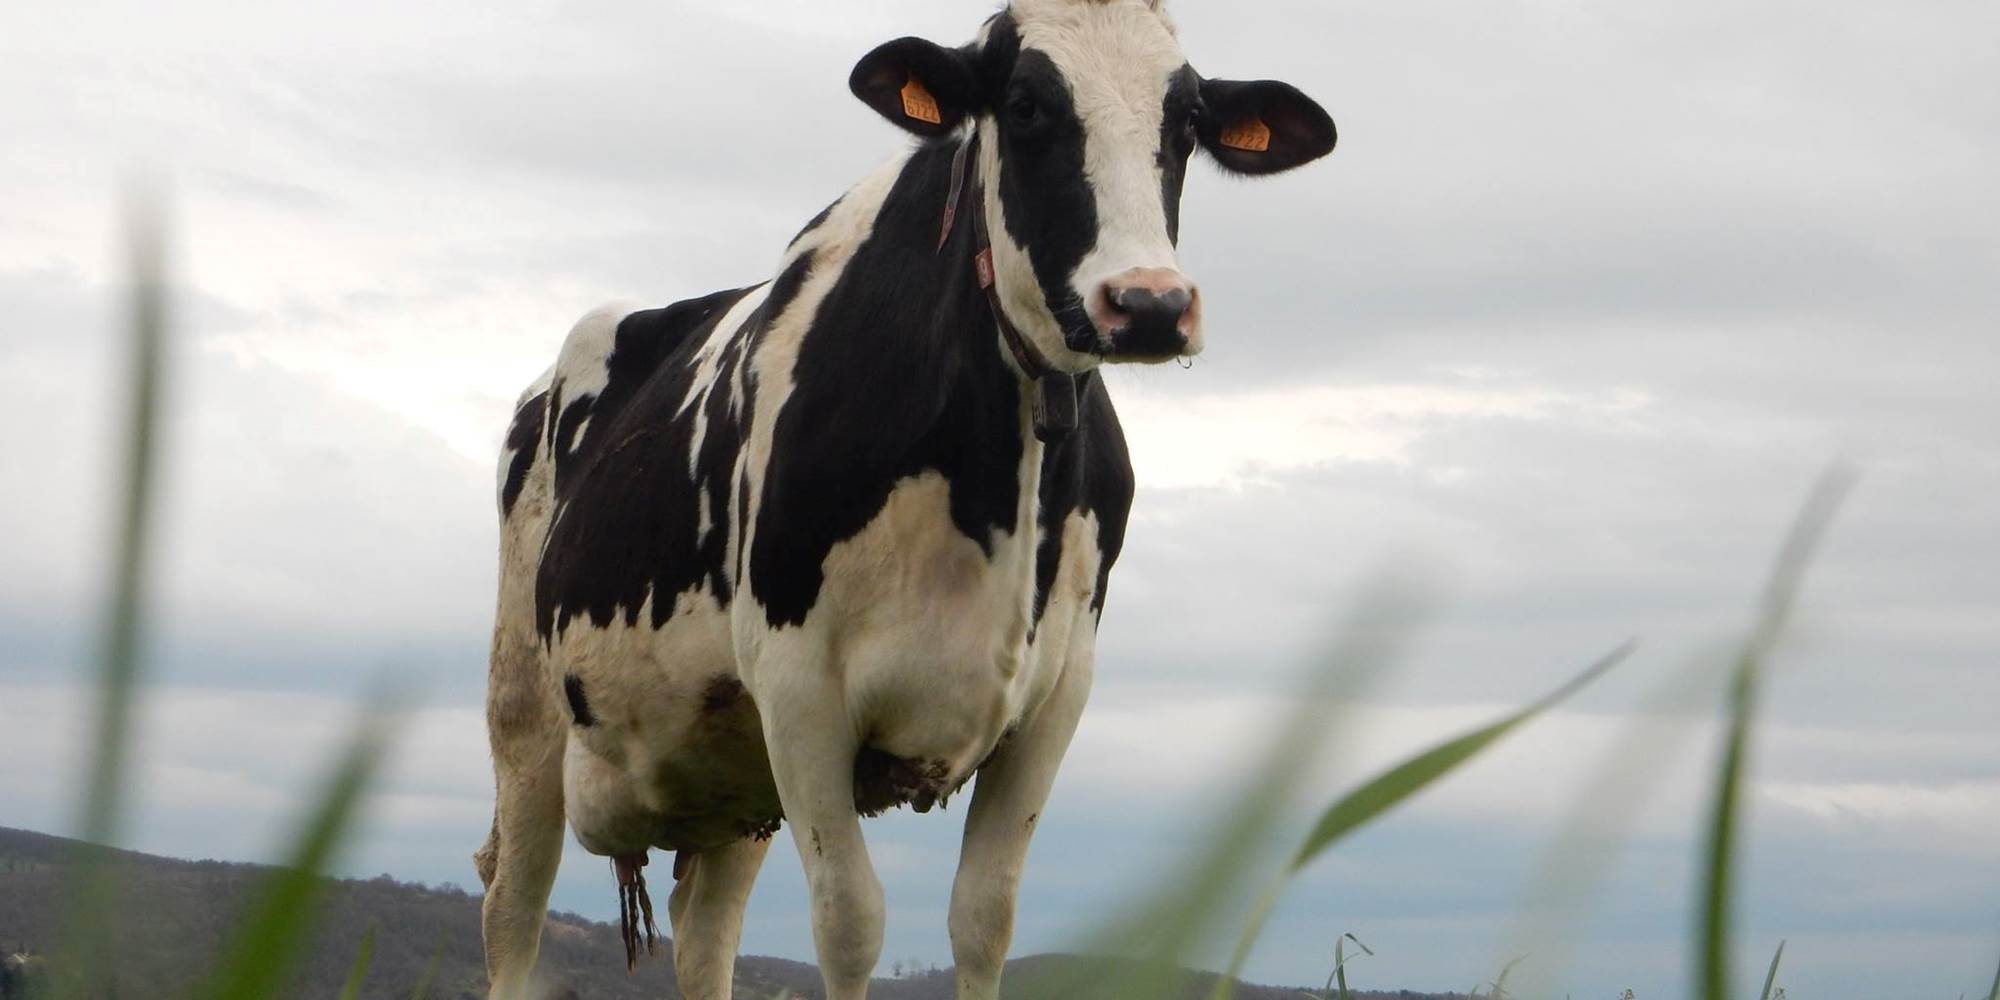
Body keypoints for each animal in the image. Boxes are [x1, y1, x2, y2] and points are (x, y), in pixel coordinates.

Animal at [473, 1, 1336, 997]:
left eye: (1187, 122)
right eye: (1028, 106)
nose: (1150, 305)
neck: (996, 482)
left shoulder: (1056, 696)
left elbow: (984, 919)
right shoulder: (800, 687)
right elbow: (850, 923)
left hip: (728, 765)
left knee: (704, 930)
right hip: (526, 713)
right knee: (513, 905)